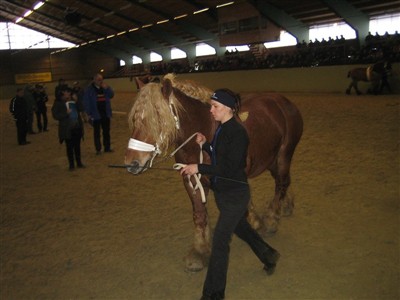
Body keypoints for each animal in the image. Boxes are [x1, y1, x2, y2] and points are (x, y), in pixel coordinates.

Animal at [125, 74, 304, 272]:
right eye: (135, 118)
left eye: (157, 117)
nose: (131, 162)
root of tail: (284, 102)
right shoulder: (191, 180)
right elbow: (200, 215)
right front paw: (199, 252)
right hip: (272, 159)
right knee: (283, 181)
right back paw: (284, 207)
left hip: (284, 154)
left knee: (281, 182)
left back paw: (272, 218)